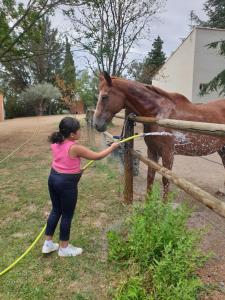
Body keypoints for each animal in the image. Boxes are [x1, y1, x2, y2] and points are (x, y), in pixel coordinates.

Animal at [93, 71, 225, 198]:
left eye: (104, 97)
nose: (96, 124)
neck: (159, 112)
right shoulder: (152, 150)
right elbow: (150, 175)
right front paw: (148, 202)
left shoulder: (168, 153)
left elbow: (166, 180)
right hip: (222, 149)